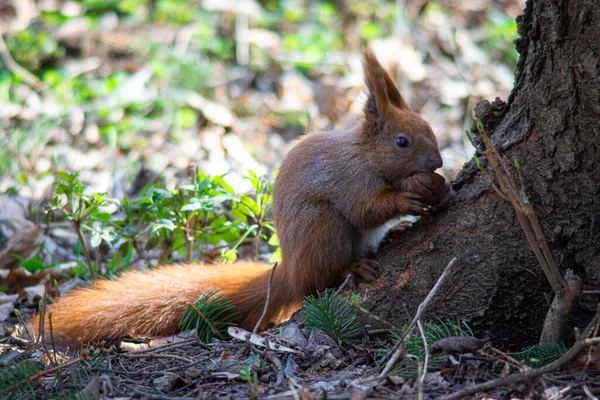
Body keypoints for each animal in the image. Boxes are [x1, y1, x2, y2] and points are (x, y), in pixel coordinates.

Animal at [30, 49, 448, 344]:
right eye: (402, 141)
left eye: (430, 127)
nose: (439, 162)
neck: (367, 156)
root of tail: (289, 271)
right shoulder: (349, 180)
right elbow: (366, 209)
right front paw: (408, 197)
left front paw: (437, 188)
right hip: (321, 231)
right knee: (318, 281)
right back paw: (350, 269)